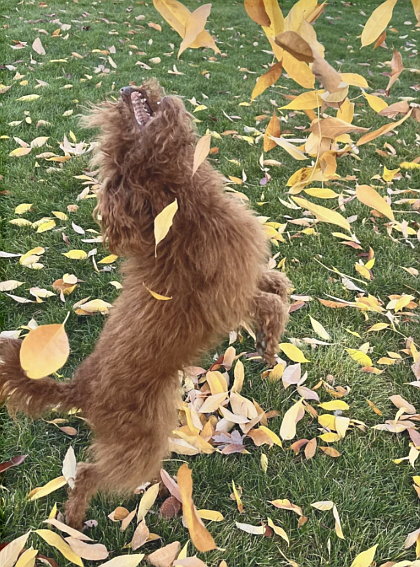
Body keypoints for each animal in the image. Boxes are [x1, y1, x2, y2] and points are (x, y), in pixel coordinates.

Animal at [0, 77, 288, 532]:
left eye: (114, 139)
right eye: (122, 150)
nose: (125, 89)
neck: (179, 207)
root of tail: (81, 388)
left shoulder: (245, 272)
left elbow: (277, 284)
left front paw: (271, 335)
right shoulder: (227, 296)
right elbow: (270, 304)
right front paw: (269, 344)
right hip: (141, 442)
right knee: (87, 475)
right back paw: (75, 523)